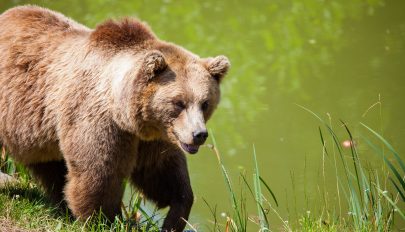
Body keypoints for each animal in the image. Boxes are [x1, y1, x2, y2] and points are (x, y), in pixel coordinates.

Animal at [0, 5, 229, 232]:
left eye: (205, 103)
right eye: (179, 102)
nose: (199, 134)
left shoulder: (153, 137)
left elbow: (162, 173)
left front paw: (174, 218)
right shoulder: (98, 121)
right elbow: (99, 175)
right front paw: (105, 220)